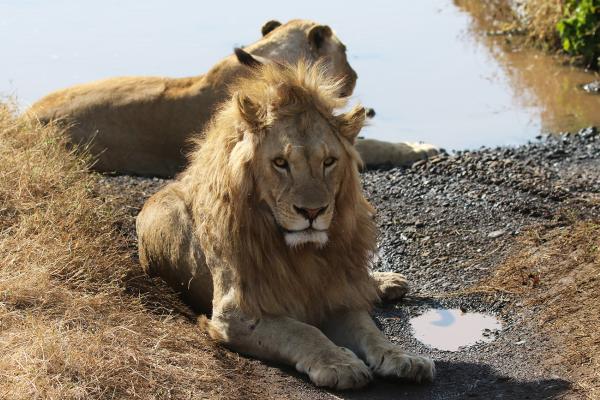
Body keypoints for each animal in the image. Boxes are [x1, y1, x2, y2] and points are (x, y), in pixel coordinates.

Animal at [136, 54, 436, 390]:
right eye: (281, 163)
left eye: (329, 161)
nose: (312, 212)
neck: (301, 254)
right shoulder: (235, 314)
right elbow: (303, 331)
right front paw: (340, 363)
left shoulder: (334, 297)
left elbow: (369, 331)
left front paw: (403, 358)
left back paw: (386, 282)